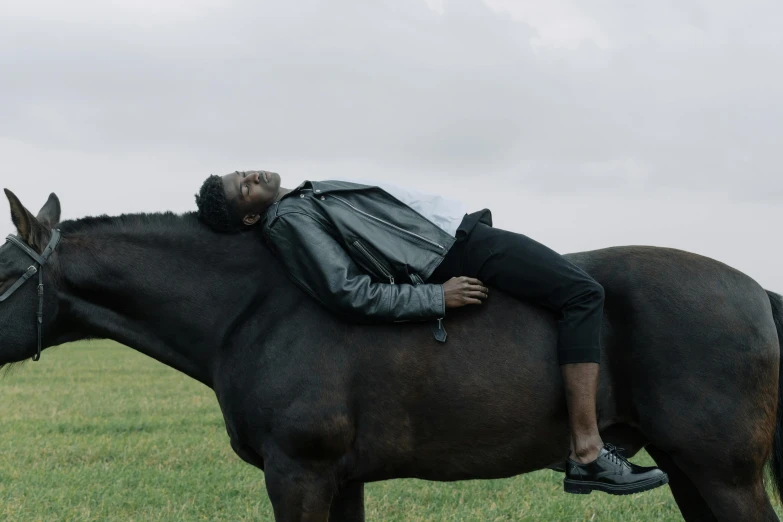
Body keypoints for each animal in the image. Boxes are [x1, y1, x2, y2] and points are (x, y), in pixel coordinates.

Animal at [0, 189, 780, 516]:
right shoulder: (336, 480)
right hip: (688, 471)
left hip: (721, 475)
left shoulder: (299, 475)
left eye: (3, 269)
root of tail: (755, 289)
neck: (259, 308)